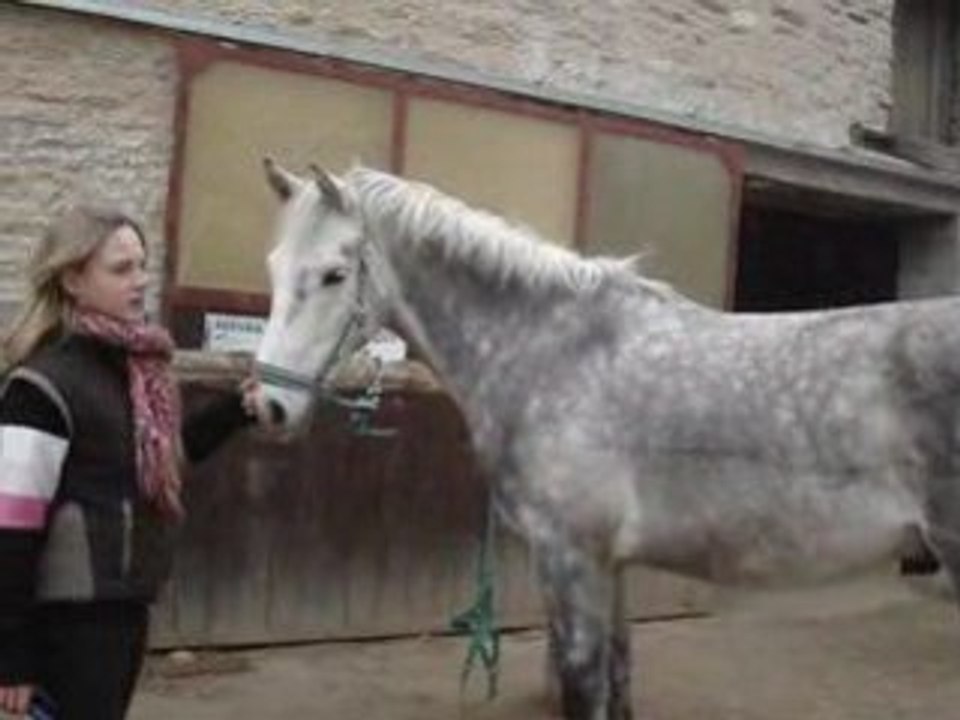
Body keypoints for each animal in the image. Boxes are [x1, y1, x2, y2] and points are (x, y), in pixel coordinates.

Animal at [252, 158, 960, 720]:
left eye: (334, 274)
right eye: (274, 265)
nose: (267, 406)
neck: (554, 351)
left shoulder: (571, 558)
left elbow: (582, 687)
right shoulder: (613, 566)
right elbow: (618, 679)